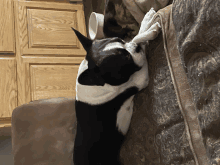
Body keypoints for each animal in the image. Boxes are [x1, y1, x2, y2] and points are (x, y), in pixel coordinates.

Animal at [72, 8, 160, 165]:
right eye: (125, 60)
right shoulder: (140, 77)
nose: (135, 49)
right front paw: (147, 30)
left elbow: (134, 38)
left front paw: (146, 22)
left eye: (120, 40)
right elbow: (136, 38)